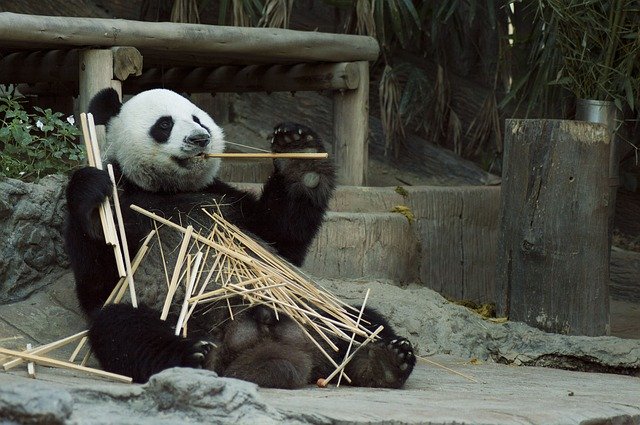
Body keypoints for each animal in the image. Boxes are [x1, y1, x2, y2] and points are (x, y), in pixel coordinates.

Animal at [64, 88, 416, 388]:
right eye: (164, 124)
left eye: (197, 118)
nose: (200, 138)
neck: (169, 189)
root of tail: (259, 346)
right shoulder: (127, 203)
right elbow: (99, 281)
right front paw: (91, 192)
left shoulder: (226, 201)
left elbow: (282, 236)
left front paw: (298, 151)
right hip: (181, 316)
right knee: (122, 329)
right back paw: (194, 356)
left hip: (308, 305)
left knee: (358, 318)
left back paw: (382, 360)